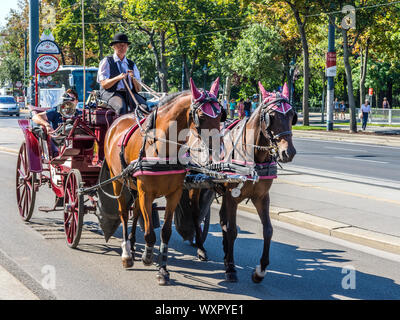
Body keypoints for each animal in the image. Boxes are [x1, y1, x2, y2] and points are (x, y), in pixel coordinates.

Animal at [103, 78, 222, 284]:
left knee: (135, 212)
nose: (216, 152)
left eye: (221, 114)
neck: (162, 147)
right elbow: (150, 232)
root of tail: (117, 121)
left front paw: (163, 270)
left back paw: (132, 244)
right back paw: (127, 254)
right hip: (117, 180)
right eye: (201, 116)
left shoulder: (173, 194)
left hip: (134, 187)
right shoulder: (147, 193)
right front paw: (147, 256)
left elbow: (165, 232)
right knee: (124, 212)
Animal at [189, 82, 296, 282]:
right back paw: (200, 248)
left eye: (292, 115)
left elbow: (268, 230)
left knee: (217, 218)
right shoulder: (233, 197)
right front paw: (231, 267)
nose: (288, 152)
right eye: (271, 116)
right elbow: (232, 230)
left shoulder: (261, 197)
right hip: (196, 185)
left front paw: (260, 270)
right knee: (197, 215)